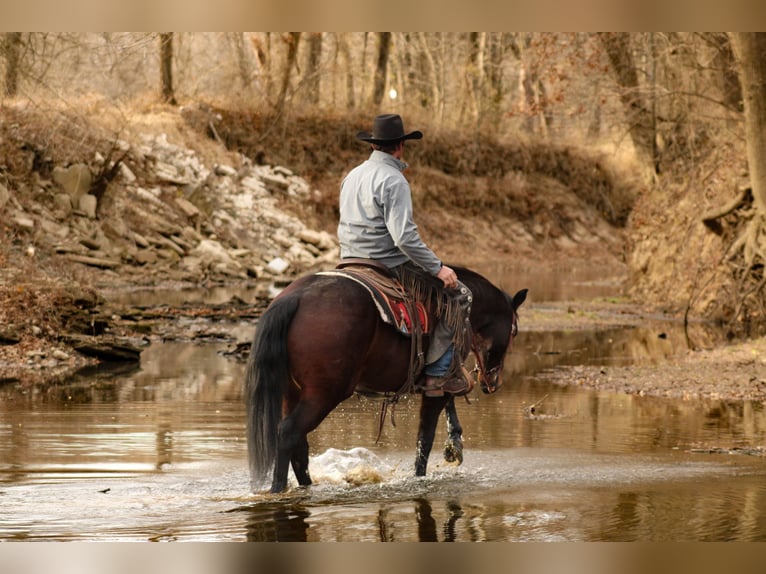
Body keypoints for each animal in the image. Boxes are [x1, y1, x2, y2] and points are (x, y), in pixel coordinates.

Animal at [245, 264, 527, 493]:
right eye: (514, 331)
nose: (493, 382)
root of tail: (295, 297)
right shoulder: (437, 383)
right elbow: (424, 438)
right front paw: (423, 475)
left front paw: (454, 445)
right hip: (324, 394)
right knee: (288, 432)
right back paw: (278, 489)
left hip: (292, 392)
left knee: (299, 443)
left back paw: (308, 485)